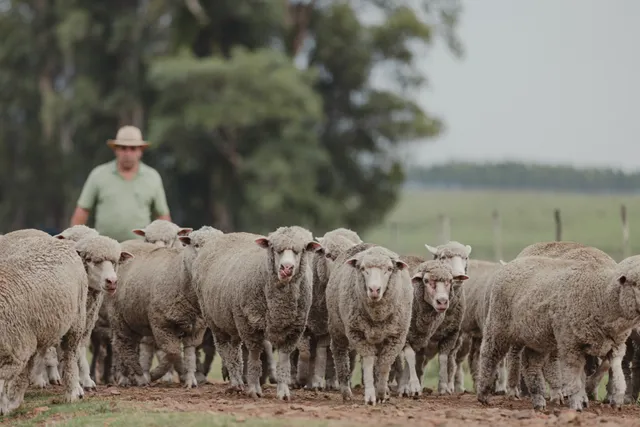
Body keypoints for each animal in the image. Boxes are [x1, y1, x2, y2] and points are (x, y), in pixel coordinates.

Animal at [108, 225, 223, 388]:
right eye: (196, 245)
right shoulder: (161, 324)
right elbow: (173, 352)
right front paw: (157, 374)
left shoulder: (197, 327)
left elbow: (189, 353)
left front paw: (190, 379)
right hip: (119, 316)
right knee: (123, 345)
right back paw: (134, 378)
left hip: (137, 317)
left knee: (138, 345)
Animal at [193, 226, 321, 400]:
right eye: (274, 248)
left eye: (300, 250)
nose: (286, 268)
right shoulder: (250, 324)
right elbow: (254, 358)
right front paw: (254, 389)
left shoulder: (293, 330)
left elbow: (284, 361)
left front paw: (283, 392)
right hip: (216, 320)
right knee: (225, 350)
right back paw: (235, 383)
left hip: (233, 320)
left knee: (235, 351)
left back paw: (238, 381)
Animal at [326, 244, 413, 405]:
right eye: (363, 268)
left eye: (389, 269)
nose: (374, 289)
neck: (377, 315)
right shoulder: (357, 333)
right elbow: (367, 363)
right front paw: (371, 396)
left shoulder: (396, 337)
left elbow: (384, 365)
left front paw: (381, 393)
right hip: (336, 326)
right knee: (339, 352)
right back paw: (346, 391)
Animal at [476, 253, 640, 411]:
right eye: (636, 284)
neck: (600, 297)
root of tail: (511, 263)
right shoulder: (570, 344)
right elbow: (574, 378)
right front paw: (576, 404)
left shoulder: (616, 346)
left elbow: (618, 374)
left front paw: (617, 400)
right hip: (498, 324)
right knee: (489, 355)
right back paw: (483, 393)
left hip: (537, 338)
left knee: (531, 365)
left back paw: (539, 400)